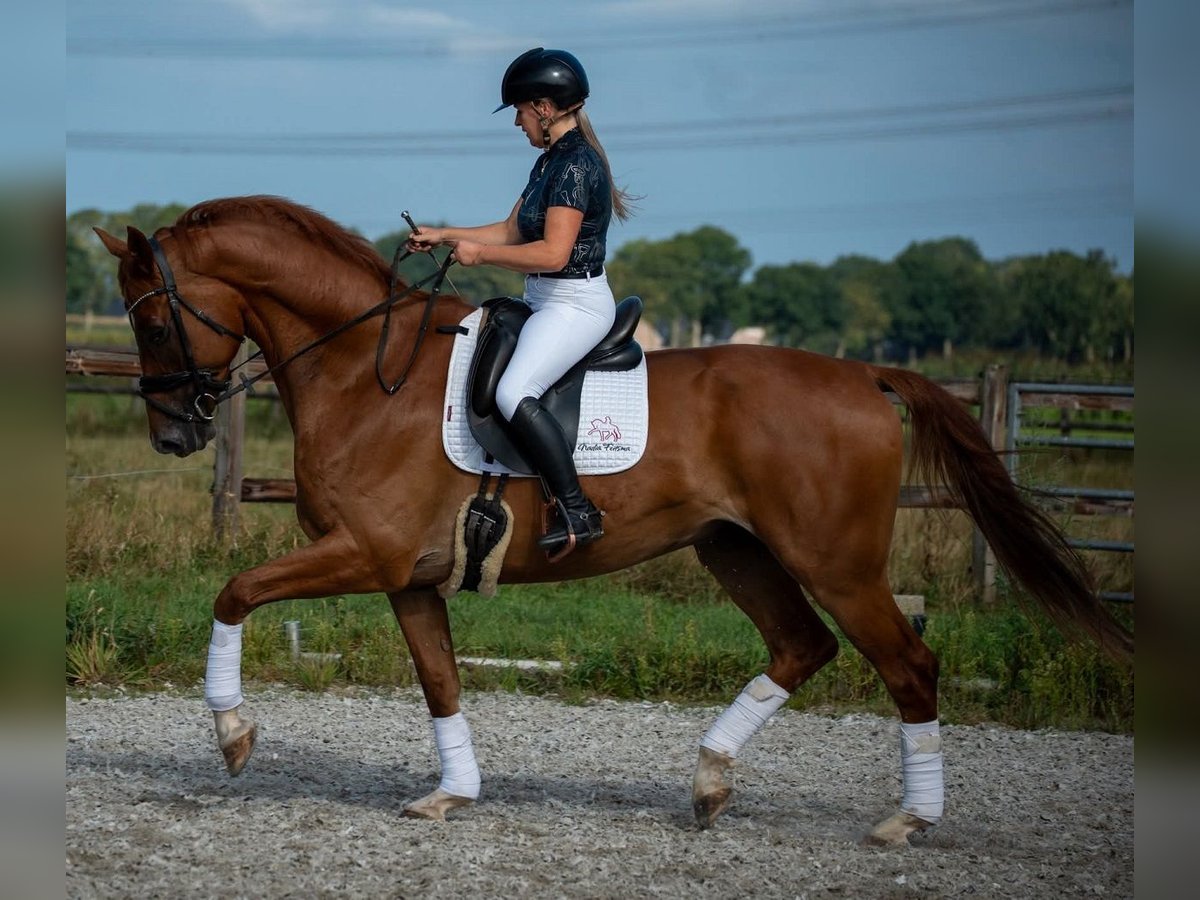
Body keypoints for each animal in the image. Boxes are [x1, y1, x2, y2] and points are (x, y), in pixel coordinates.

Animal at [94, 195, 1132, 845]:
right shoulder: (409, 575)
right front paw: (452, 795)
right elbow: (439, 680)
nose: (173, 434)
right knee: (802, 647)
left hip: (833, 560)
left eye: (152, 320)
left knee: (908, 664)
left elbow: (235, 592)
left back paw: (906, 819)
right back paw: (710, 782)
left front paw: (233, 736)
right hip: (736, 550)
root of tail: (864, 376)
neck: (362, 370)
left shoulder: (363, 553)